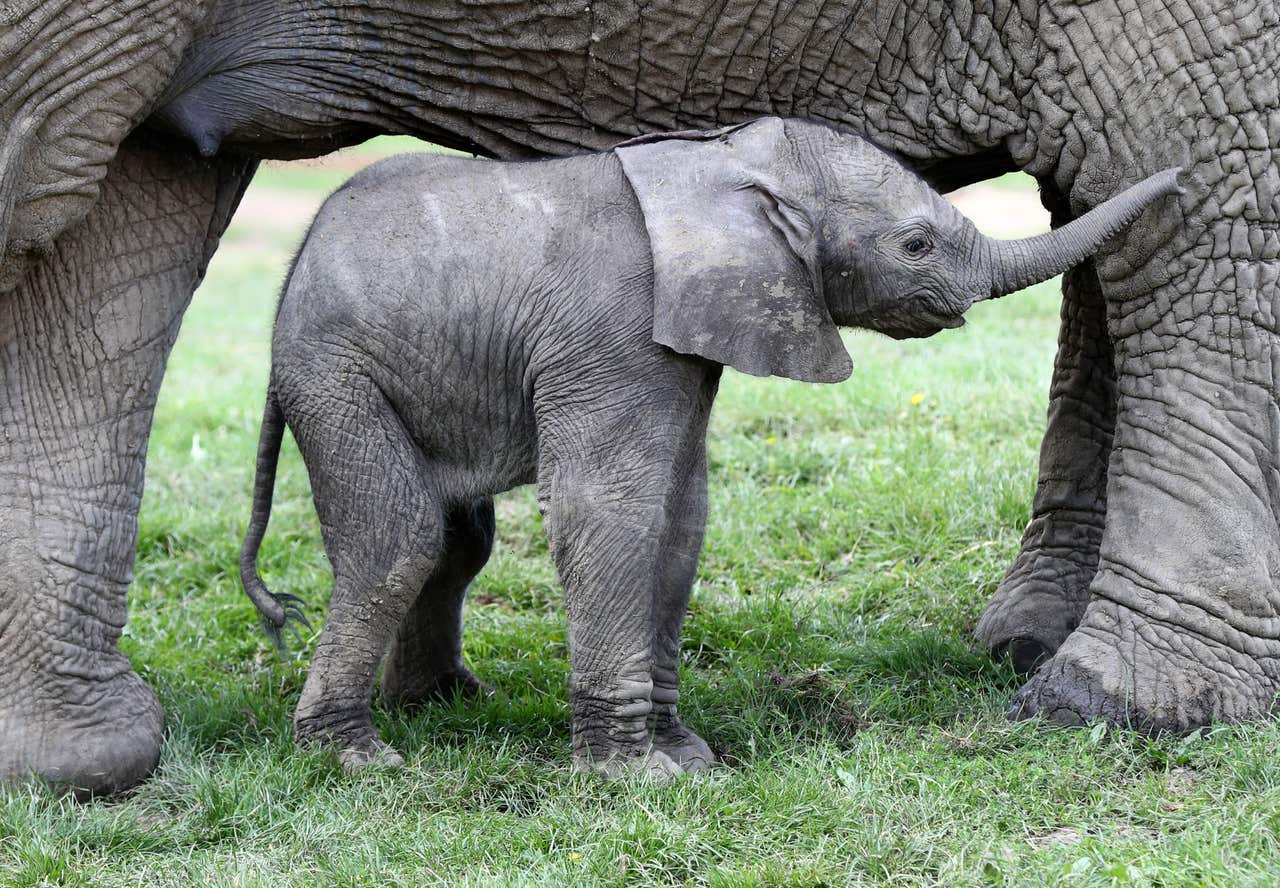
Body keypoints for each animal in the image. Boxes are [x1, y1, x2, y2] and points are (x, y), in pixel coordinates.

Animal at [240, 120, 1177, 777]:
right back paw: (357, 757)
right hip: (337, 373)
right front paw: (637, 779)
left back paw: (443, 710)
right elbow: (611, 509)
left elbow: (681, 518)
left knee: (455, 540)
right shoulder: (611, 333)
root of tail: (290, 274)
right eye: (916, 244)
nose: (1180, 180)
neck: (728, 165)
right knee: (398, 538)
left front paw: (684, 755)